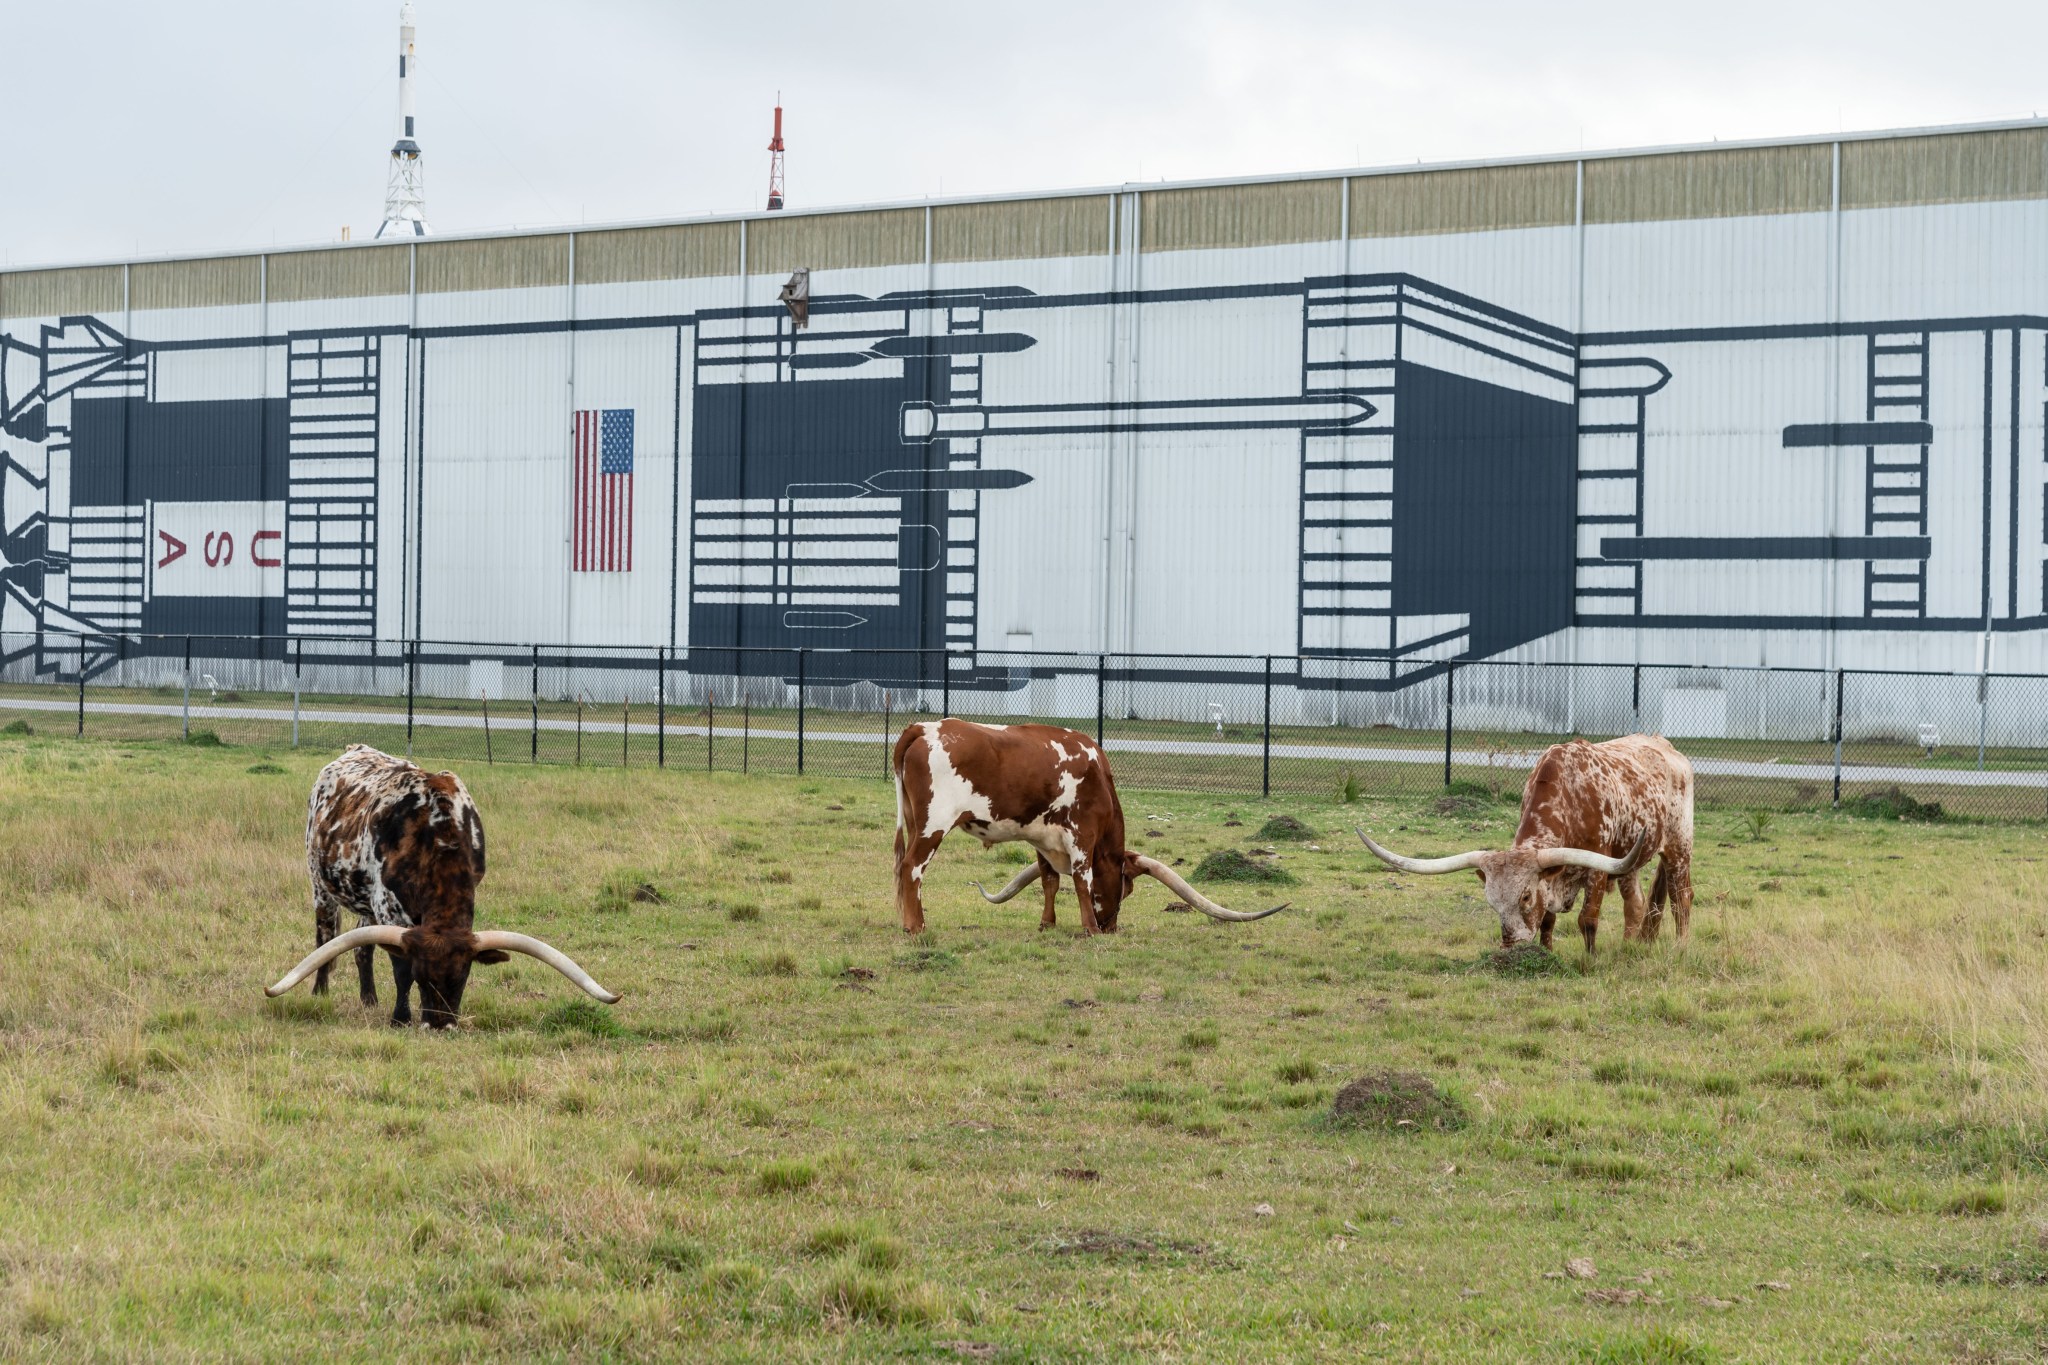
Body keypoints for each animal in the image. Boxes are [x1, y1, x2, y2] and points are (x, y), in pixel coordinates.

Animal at [264, 749, 618, 1023]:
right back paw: (320, 992)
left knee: (363, 948)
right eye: (422, 976)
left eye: (463, 976)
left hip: (365, 901)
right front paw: (400, 1018)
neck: (437, 831)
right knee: (326, 938)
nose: (439, 1024)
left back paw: (369, 1001)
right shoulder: (389, 908)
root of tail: (352, 750)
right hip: (321, 887)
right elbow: (400, 969)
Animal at [892, 716, 1286, 941]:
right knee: (912, 868)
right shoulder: (1082, 836)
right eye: (1127, 889)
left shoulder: (1042, 838)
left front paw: (1047, 924)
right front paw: (1090, 929)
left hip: (912, 821)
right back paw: (917, 926)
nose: (1112, 928)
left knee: (902, 867)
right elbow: (1083, 881)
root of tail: (922, 728)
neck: (1099, 776)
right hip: (933, 825)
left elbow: (1050, 881)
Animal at [1359, 736, 1695, 949]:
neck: (1570, 795)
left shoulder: (1597, 867)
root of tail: (1668, 747)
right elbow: (1547, 921)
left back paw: (1680, 948)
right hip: (1630, 860)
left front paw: (1589, 962)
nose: (1511, 943)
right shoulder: (1555, 873)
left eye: (1525, 897)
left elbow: (1587, 920)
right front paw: (1546, 954)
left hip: (1679, 847)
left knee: (1681, 899)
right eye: (1492, 901)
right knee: (1635, 904)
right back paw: (1627, 949)